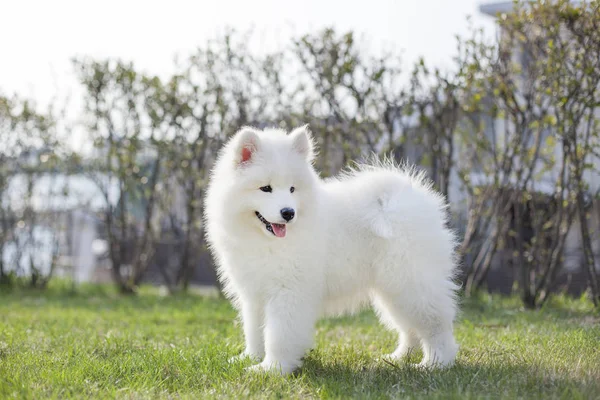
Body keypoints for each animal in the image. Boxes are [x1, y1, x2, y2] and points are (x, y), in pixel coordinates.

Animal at [204, 126, 462, 376]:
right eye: (265, 188)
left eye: (292, 189)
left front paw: (272, 369)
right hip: (393, 290)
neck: (265, 241)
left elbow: (278, 334)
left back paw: (435, 364)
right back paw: (398, 359)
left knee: (436, 325)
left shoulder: (288, 292)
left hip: (412, 283)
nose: (288, 212)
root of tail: (413, 198)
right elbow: (255, 330)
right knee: (409, 329)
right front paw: (250, 358)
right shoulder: (254, 292)